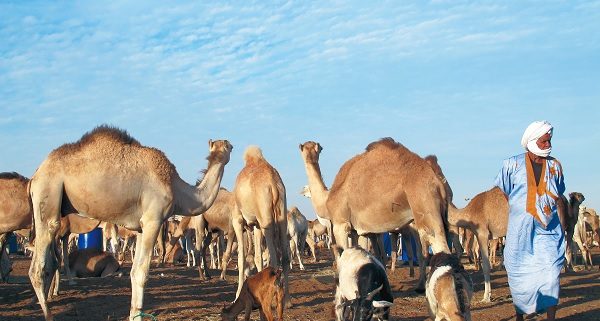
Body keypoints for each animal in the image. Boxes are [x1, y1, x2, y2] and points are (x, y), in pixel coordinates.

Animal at [27, 125, 232, 320]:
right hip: (48, 192)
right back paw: (49, 314)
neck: (177, 190)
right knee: (37, 268)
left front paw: (135, 314)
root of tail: (36, 174)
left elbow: (133, 273)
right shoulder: (153, 219)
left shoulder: (141, 228)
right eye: (226, 146)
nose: (227, 145)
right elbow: (142, 273)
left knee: (49, 263)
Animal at [232, 145, 290, 304]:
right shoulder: (256, 225)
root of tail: (274, 184)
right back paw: (287, 300)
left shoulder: (237, 220)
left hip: (266, 221)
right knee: (285, 256)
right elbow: (258, 258)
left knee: (275, 259)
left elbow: (241, 257)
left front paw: (237, 296)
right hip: (281, 216)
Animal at [300, 139, 450, 292]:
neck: (327, 199)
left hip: (425, 208)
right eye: (305, 148)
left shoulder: (340, 224)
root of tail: (437, 181)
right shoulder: (358, 231)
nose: (309, 155)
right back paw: (421, 286)